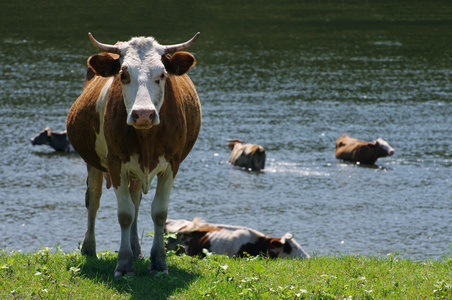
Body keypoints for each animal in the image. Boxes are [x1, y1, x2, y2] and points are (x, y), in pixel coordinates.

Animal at [66, 32, 201, 276]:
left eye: (162, 74)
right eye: (124, 74)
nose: (144, 114)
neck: (146, 137)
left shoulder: (172, 164)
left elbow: (159, 212)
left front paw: (158, 262)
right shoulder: (115, 163)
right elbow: (125, 214)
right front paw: (124, 263)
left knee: (136, 198)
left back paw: (137, 249)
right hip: (93, 162)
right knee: (94, 200)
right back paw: (89, 248)